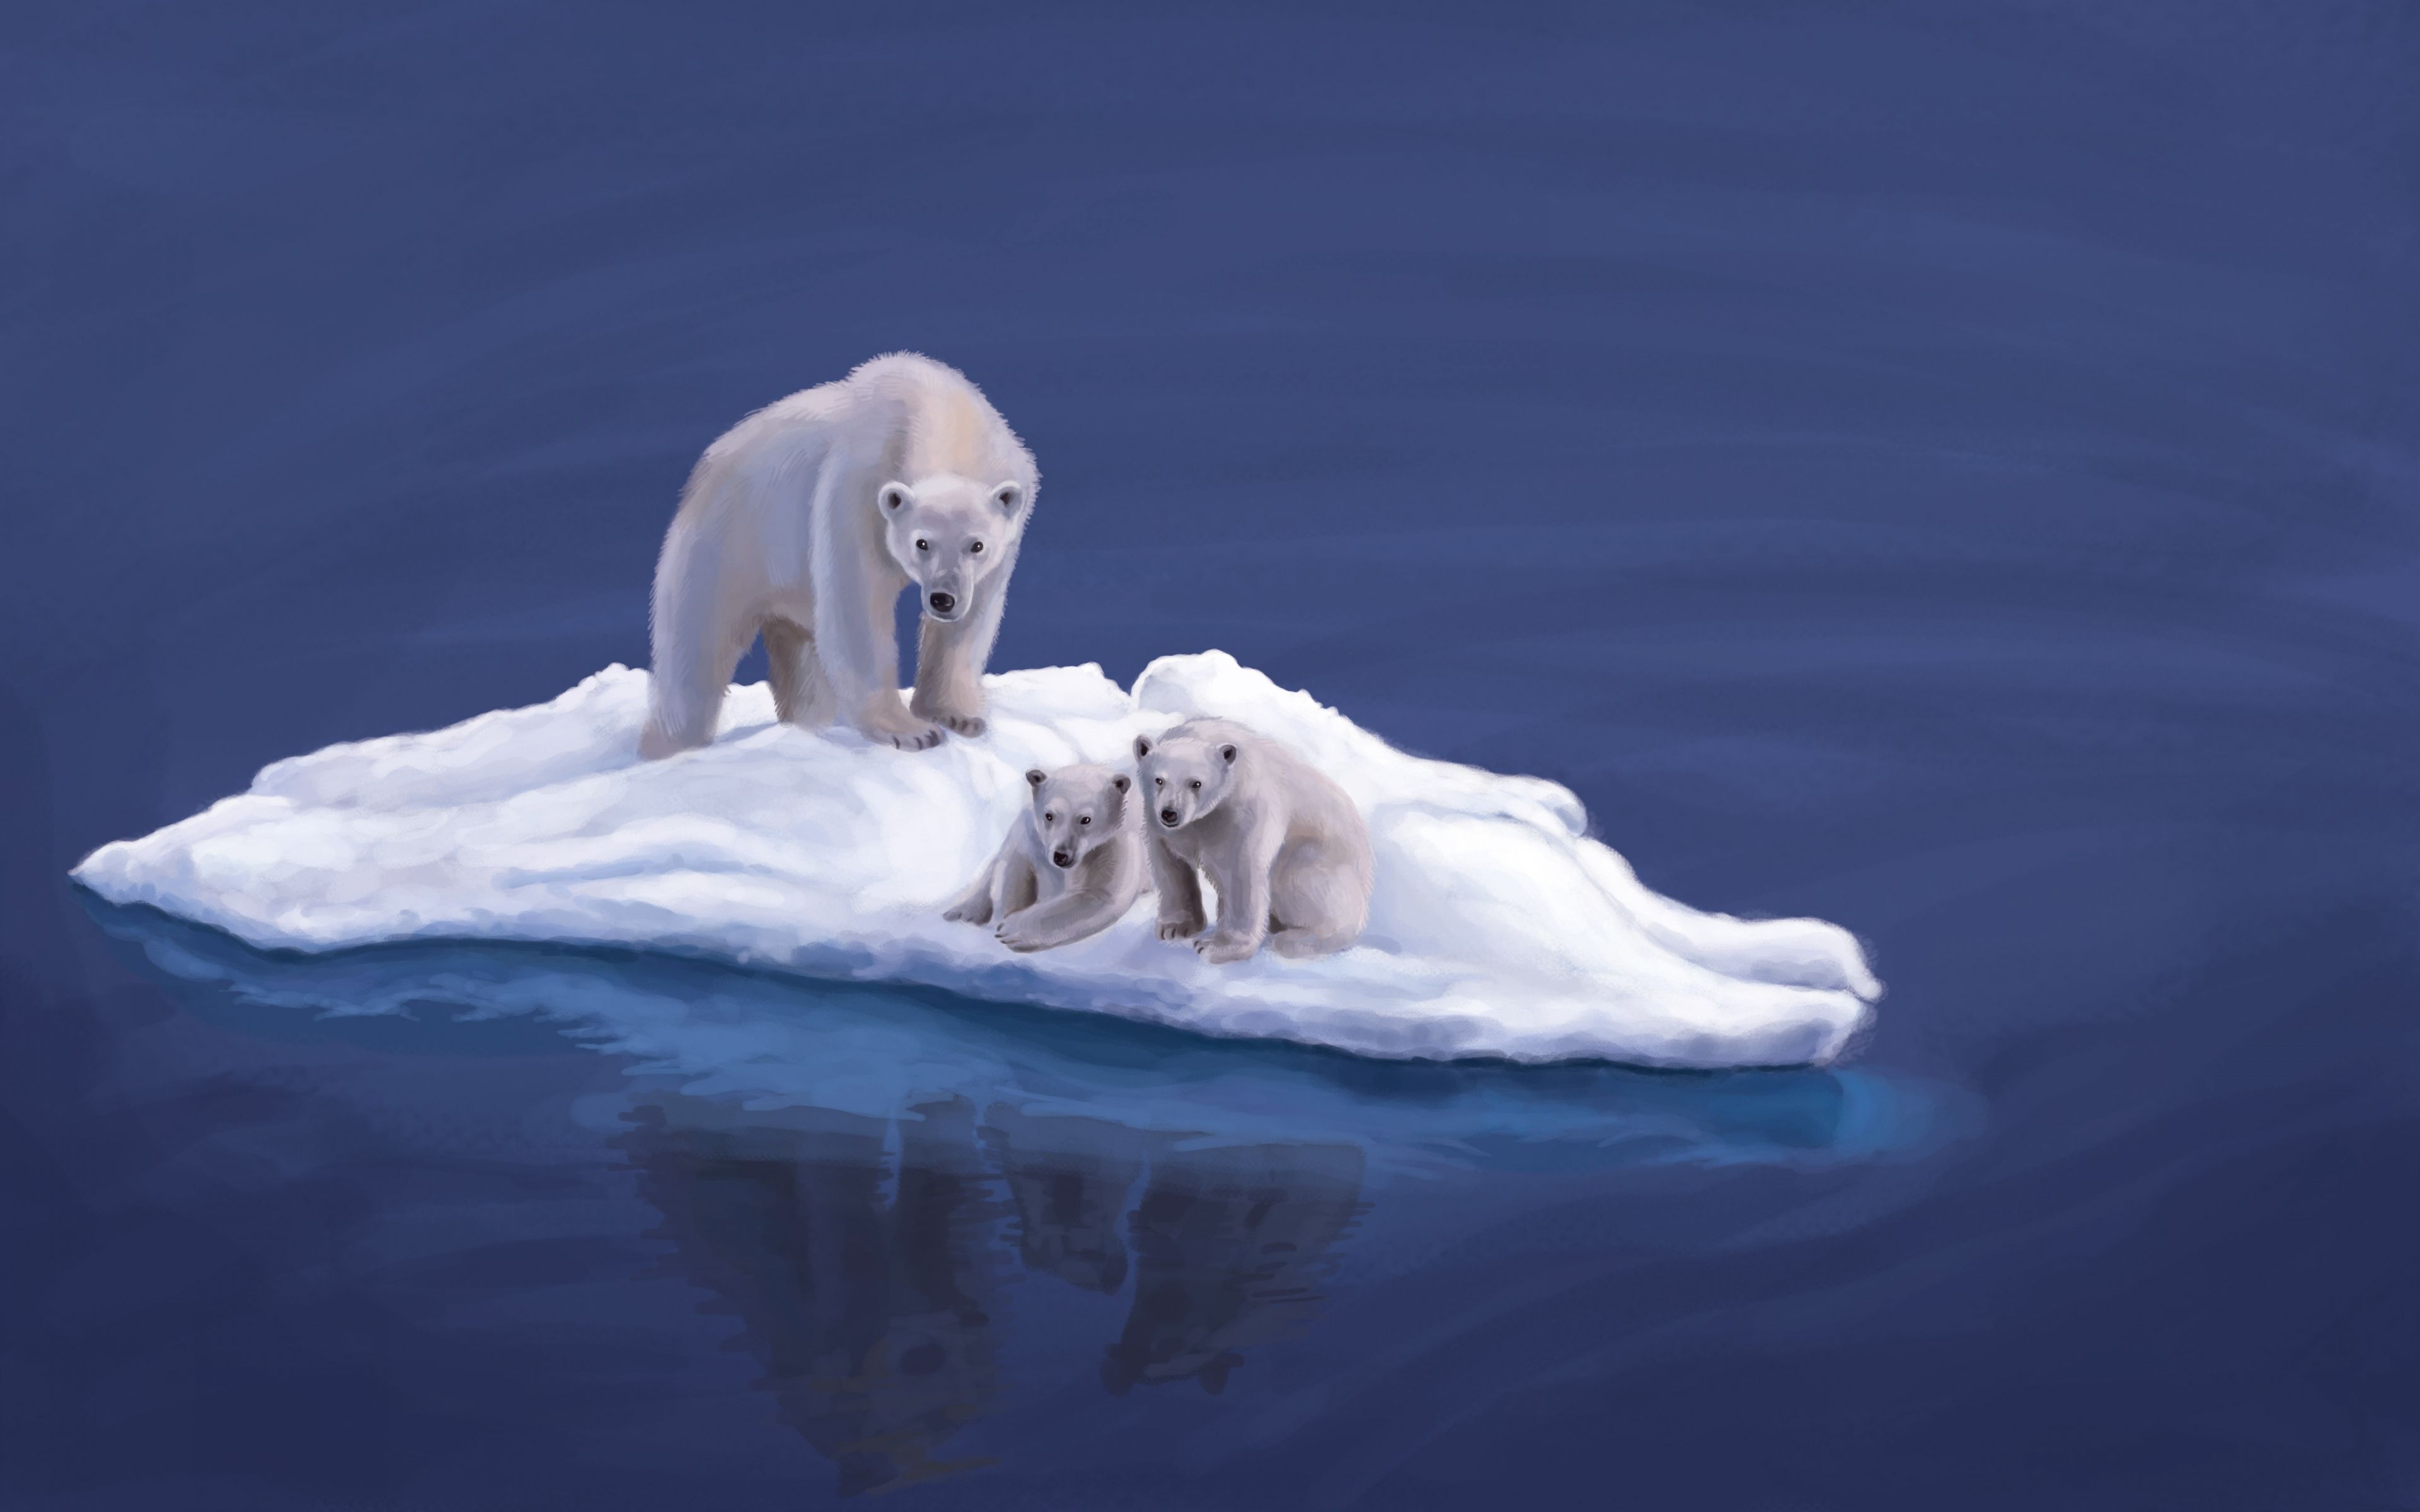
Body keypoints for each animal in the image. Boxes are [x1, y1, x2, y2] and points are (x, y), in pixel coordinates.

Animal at [638, 352, 1038, 759]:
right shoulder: (857, 491)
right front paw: (911, 731)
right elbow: (857, 606)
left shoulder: (1010, 508)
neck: (940, 411)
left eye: (977, 545)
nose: (943, 599)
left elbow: (973, 618)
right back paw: (668, 747)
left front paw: (958, 716)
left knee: (800, 654)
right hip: (728, 542)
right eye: (921, 543)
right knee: (696, 654)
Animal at [942, 762, 1149, 953]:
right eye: (1049, 816)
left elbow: (1099, 894)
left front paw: (1010, 930)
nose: (1061, 856)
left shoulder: (1113, 843)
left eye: (1086, 819)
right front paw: (1000, 916)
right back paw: (959, 911)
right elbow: (1013, 869)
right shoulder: (1030, 834)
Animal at [1134, 718, 1373, 964]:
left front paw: (1216, 947)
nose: (1170, 813)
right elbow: (1169, 864)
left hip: (1320, 863)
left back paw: (1295, 940)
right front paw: (1175, 928)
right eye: (1159, 780)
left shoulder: (1244, 809)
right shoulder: (1159, 819)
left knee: (1299, 880)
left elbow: (1242, 872)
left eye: (1196, 783)